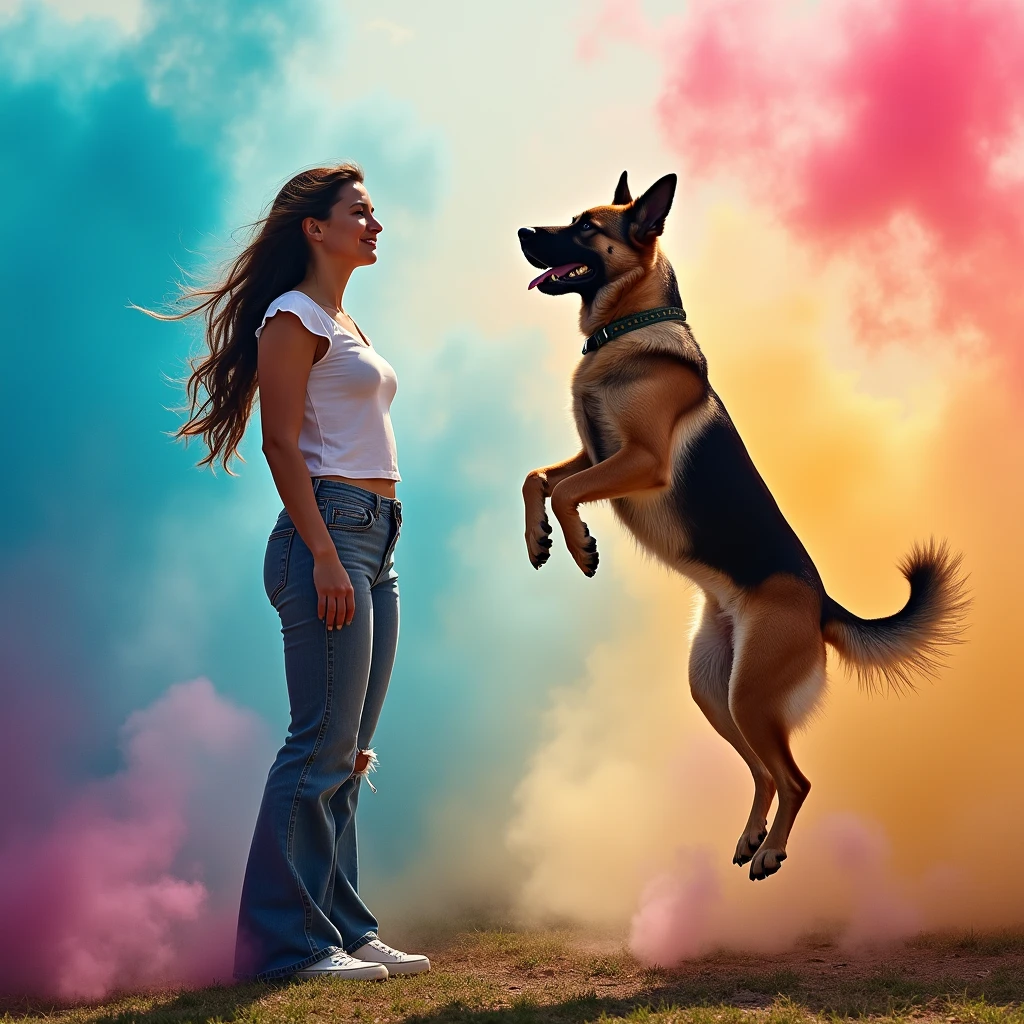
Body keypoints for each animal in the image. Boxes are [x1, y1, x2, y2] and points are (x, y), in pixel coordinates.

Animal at [520, 169, 966, 880]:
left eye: (586, 227)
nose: (521, 233)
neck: (627, 331)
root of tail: (821, 604)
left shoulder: (638, 461)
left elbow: (564, 492)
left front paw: (581, 547)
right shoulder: (596, 456)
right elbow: (537, 478)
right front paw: (542, 540)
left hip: (750, 697)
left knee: (795, 778)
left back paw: (773, 850)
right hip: (717, 692)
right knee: (763, 773)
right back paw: (752, 838)